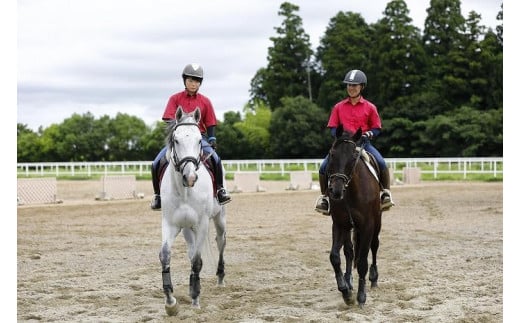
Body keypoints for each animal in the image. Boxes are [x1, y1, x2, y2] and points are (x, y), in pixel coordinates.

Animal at [330, 125, 382, 308]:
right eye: (332, 154)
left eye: (353, 157)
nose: (336, 190)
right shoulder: (339, 224)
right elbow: (335, 257)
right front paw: (345, 292)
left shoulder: (367, 226)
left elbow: (362, 262)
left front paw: (361, 297)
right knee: (349, 251)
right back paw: (348, 281)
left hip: (377, 224)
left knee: (374, 246)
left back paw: (373, 279)